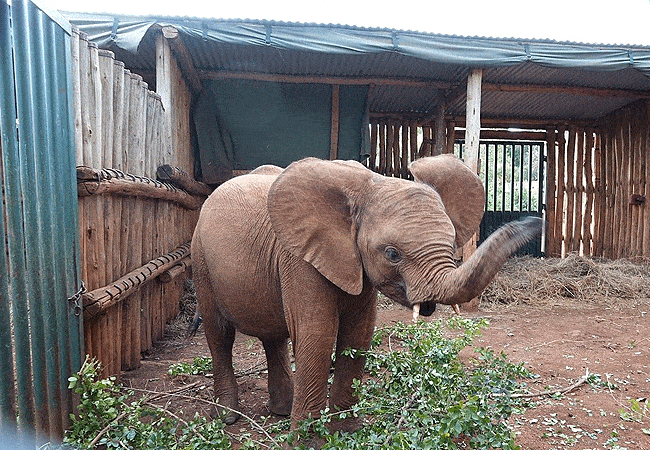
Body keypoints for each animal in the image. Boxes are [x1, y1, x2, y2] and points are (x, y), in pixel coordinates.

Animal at [190, 155, 540, 428]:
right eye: (392, 254)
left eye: (452, 239)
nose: (532, 219)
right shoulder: (299, 258)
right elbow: (317, 336)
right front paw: (309, 440)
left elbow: (358, 335)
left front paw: (346, 431)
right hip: (201, 259)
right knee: (219, 335)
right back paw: (227, 418)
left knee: (272, 337)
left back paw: (280, 412)